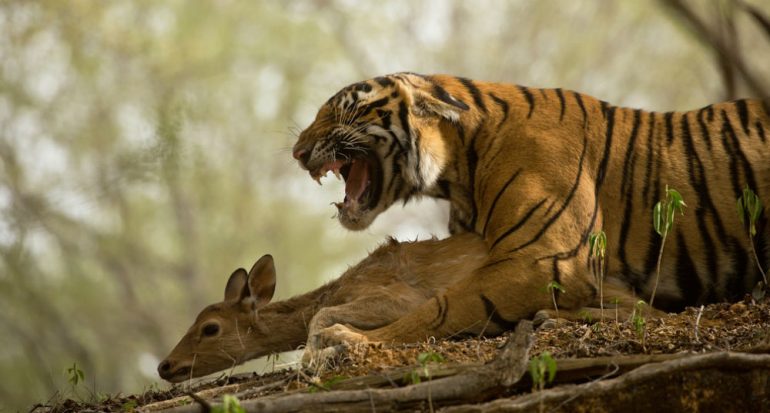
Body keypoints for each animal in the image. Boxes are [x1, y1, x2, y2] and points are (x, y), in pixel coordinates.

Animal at [290, 72, 768, 342]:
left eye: (342, 111)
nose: (297, 152)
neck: (458, 169)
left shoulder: (541, 259)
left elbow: (439, 308)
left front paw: (351, 339)